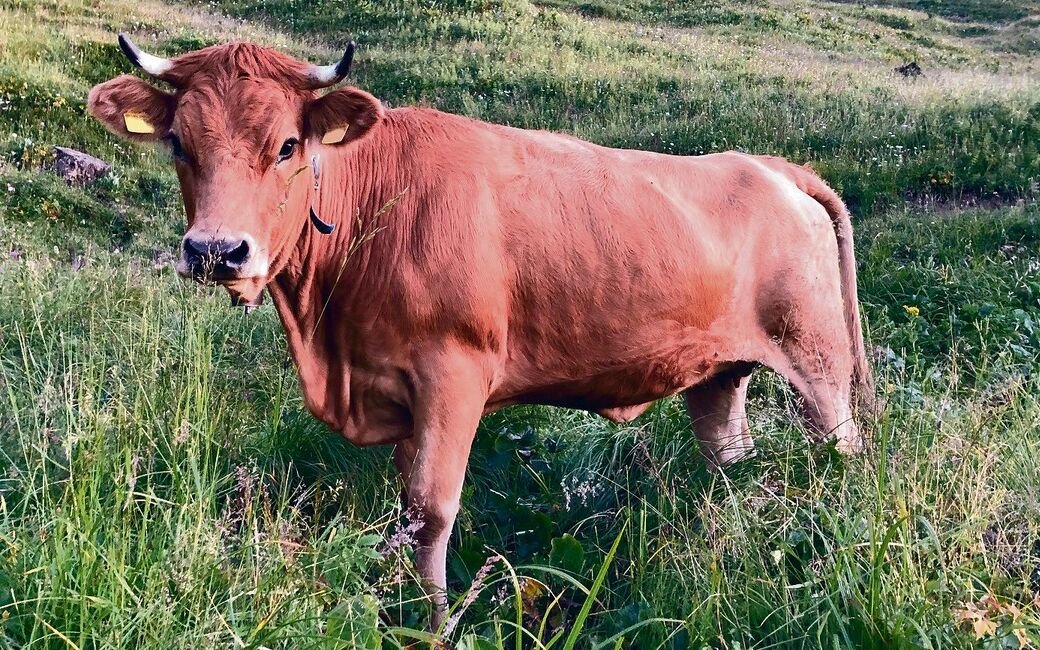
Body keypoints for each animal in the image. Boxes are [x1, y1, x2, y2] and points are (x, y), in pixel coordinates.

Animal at [87, 36, 869, 628]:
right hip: (718, 375)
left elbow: (432, 511)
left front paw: (433, 624)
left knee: (840, 451)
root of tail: (767, 165)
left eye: (285, 146)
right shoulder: (397, 391)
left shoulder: (452, 376)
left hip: (819, 364)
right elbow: (404, 513)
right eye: (178, 143)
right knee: (730, 463)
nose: (216, 251)